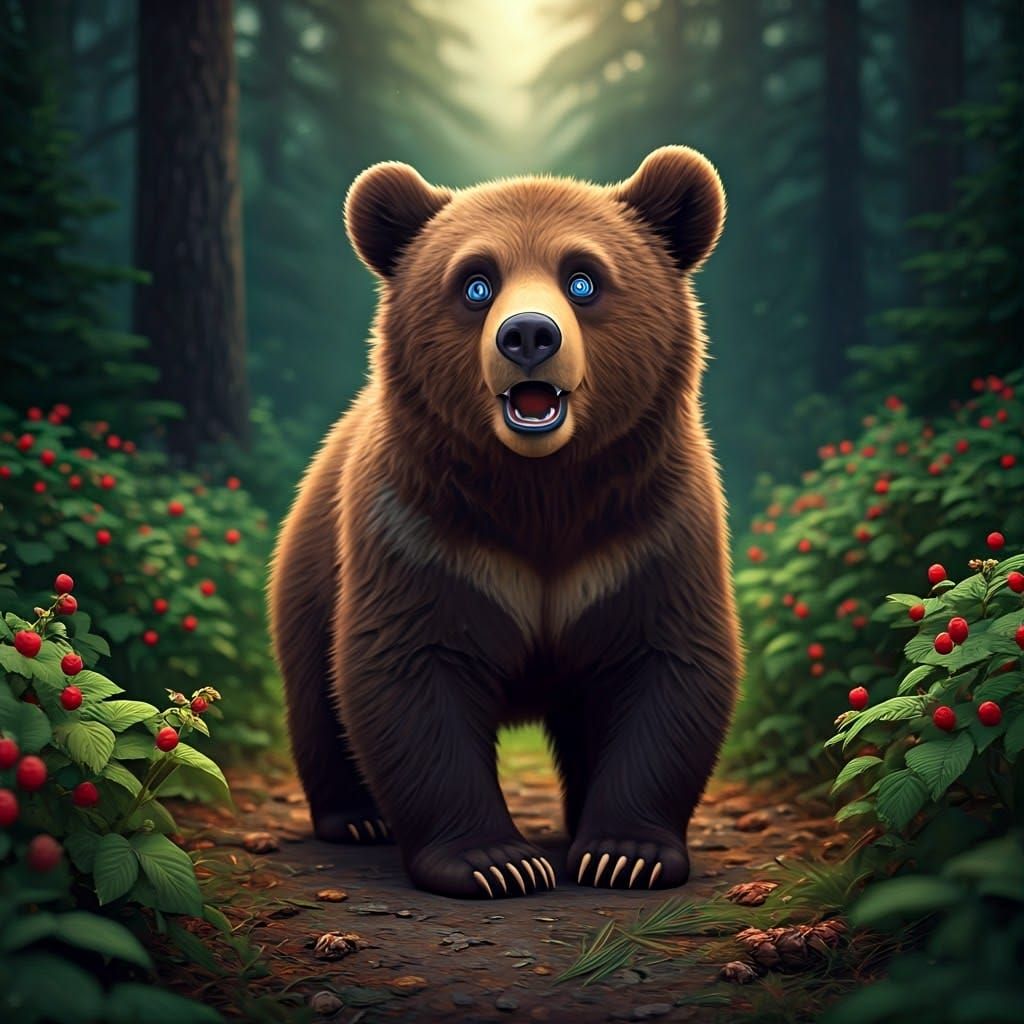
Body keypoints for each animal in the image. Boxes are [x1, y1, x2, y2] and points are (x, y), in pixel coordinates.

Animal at [268, 146, 742, 900]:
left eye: (582, 279)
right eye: (475, 284)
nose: (528, 336)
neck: (539, 493)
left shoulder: (649, 530)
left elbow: (667, 663)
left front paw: (624, 854)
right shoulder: (423, 531)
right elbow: (410, 670)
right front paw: (496, 862)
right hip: (314, 567)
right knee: (317, 691)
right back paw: (355, 818)